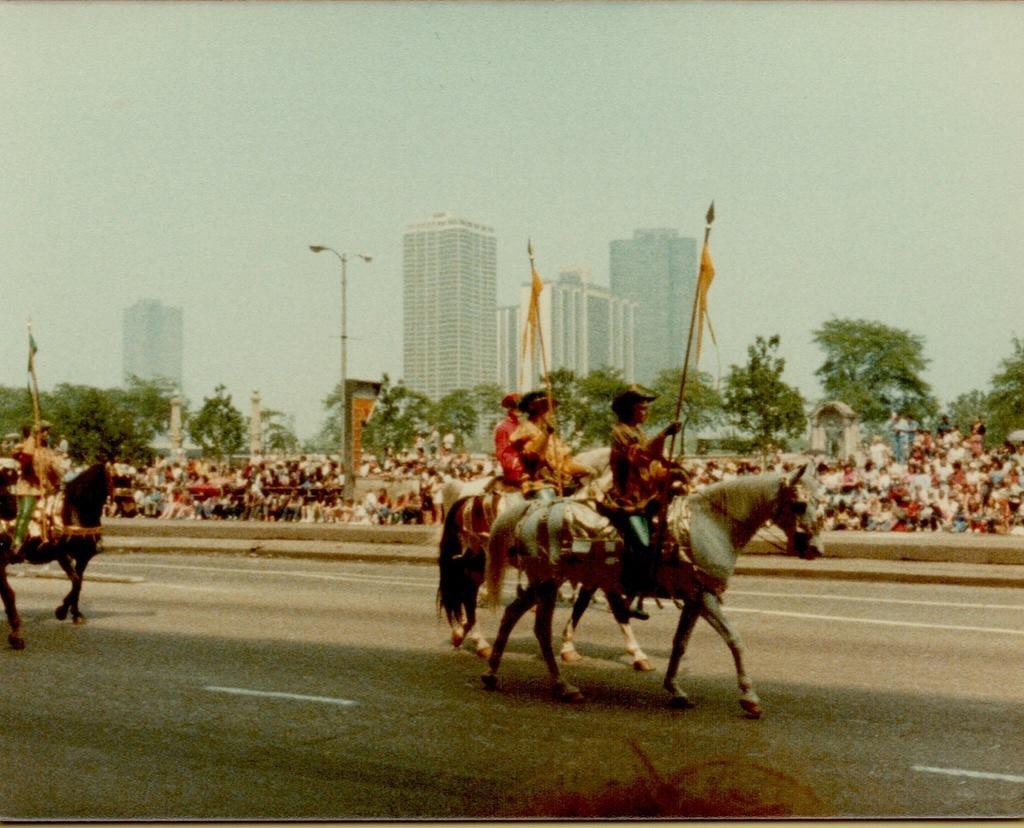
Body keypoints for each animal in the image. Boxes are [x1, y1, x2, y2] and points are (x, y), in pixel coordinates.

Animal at [0, 462, 112, 650]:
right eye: (115, 477)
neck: (74, 510)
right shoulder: (70, 555)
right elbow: (76, 583)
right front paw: (62, 611)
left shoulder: (74, 556)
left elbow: (77, 583)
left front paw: (74, 613)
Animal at [479, 464, 823, 716]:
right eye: (799, 503)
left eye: (820, 504)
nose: (815, 549)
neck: (711, 523)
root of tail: (536, 507)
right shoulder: (705, 597)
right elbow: (734, 640)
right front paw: (749, 697)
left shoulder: (694, 599)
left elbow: (679, 644)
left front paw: (675, 689)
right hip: (548, 582)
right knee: (539, 627)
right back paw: (563, 686)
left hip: (542, 583)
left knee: (511, 615)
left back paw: (493, 673)